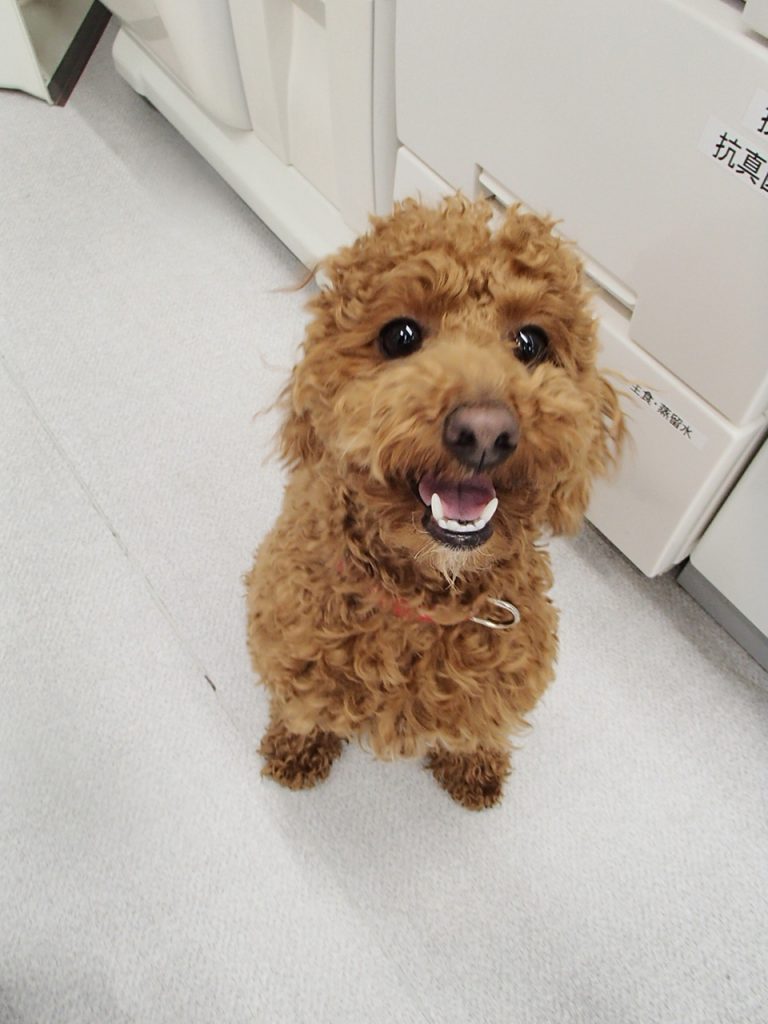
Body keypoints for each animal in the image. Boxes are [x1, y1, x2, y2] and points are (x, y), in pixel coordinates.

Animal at [246, 196, 624, 810]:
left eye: (531, 343)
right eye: (399, 336)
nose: (485, 431)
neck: (424, 596)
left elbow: (477, 730)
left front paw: (475, 768)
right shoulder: (290, 640)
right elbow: (303, 709)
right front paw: (295, 749)